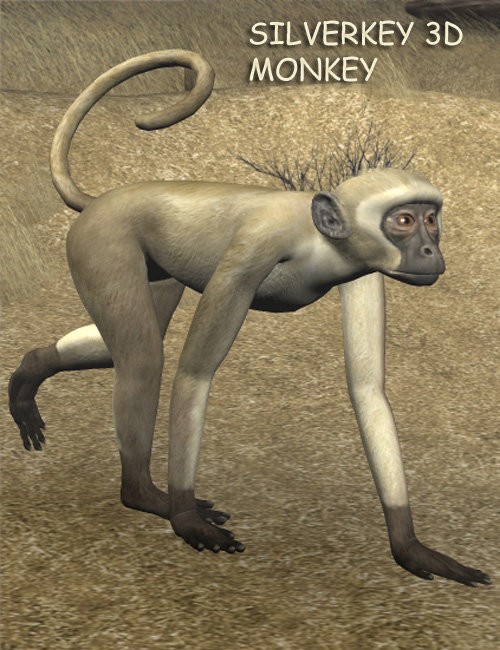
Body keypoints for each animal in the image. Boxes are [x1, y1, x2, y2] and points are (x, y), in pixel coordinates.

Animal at [9, 50, 490, 586]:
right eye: (404, 221)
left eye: (431, 219)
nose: (431, 250)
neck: (317, 240)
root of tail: (103, 200)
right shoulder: (253, 252)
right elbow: (194, 375)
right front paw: (185, 519)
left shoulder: (364, 272)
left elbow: (368, 391)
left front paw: (410, 548)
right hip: (101, 241)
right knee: (143, 357)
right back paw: (145, 496)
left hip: (151, 268)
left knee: (127, 346)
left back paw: (30, 368)